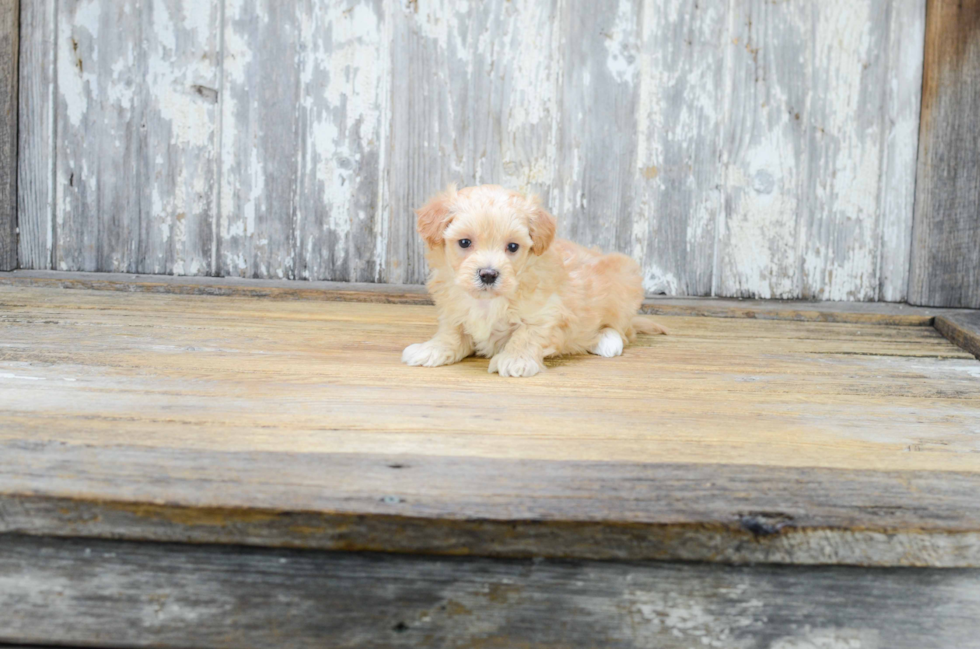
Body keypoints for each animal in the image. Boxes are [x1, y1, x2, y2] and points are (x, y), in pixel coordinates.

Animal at [398, 184, 668, 374]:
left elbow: (527, 334)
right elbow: (451, 333)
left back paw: (606, 339)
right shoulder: (454, 310)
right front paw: (431, 349)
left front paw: (515, 360)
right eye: (465, 242)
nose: (488, 274)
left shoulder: (547, 312)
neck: (487, 301)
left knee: (623, 328)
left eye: (513, 246)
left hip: (625, 279)